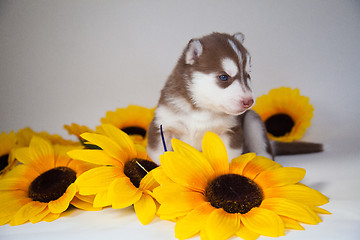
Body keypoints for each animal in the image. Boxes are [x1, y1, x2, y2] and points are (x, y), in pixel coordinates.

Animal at [148, 32, 322, 165]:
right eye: (224, 77)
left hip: (253, 121)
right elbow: (159, 157)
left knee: (265, 151)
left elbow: (229, 158)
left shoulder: (231, 131)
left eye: (248, 75)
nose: (249, 101)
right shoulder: (162, 127)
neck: (202, 110)